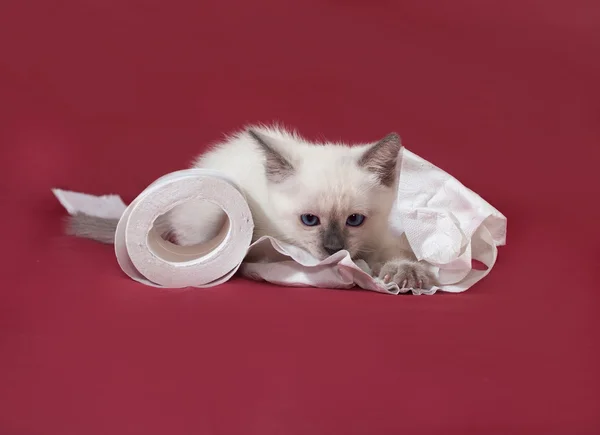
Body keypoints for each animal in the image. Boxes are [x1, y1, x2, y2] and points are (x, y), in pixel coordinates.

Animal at [68, 124, 436, 292]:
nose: (333, 249)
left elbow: (394, 251)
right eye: (309, 220)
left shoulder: (377, 238)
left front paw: (406, 273)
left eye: (355, 220)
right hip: (207, 213)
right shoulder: (268, 244)